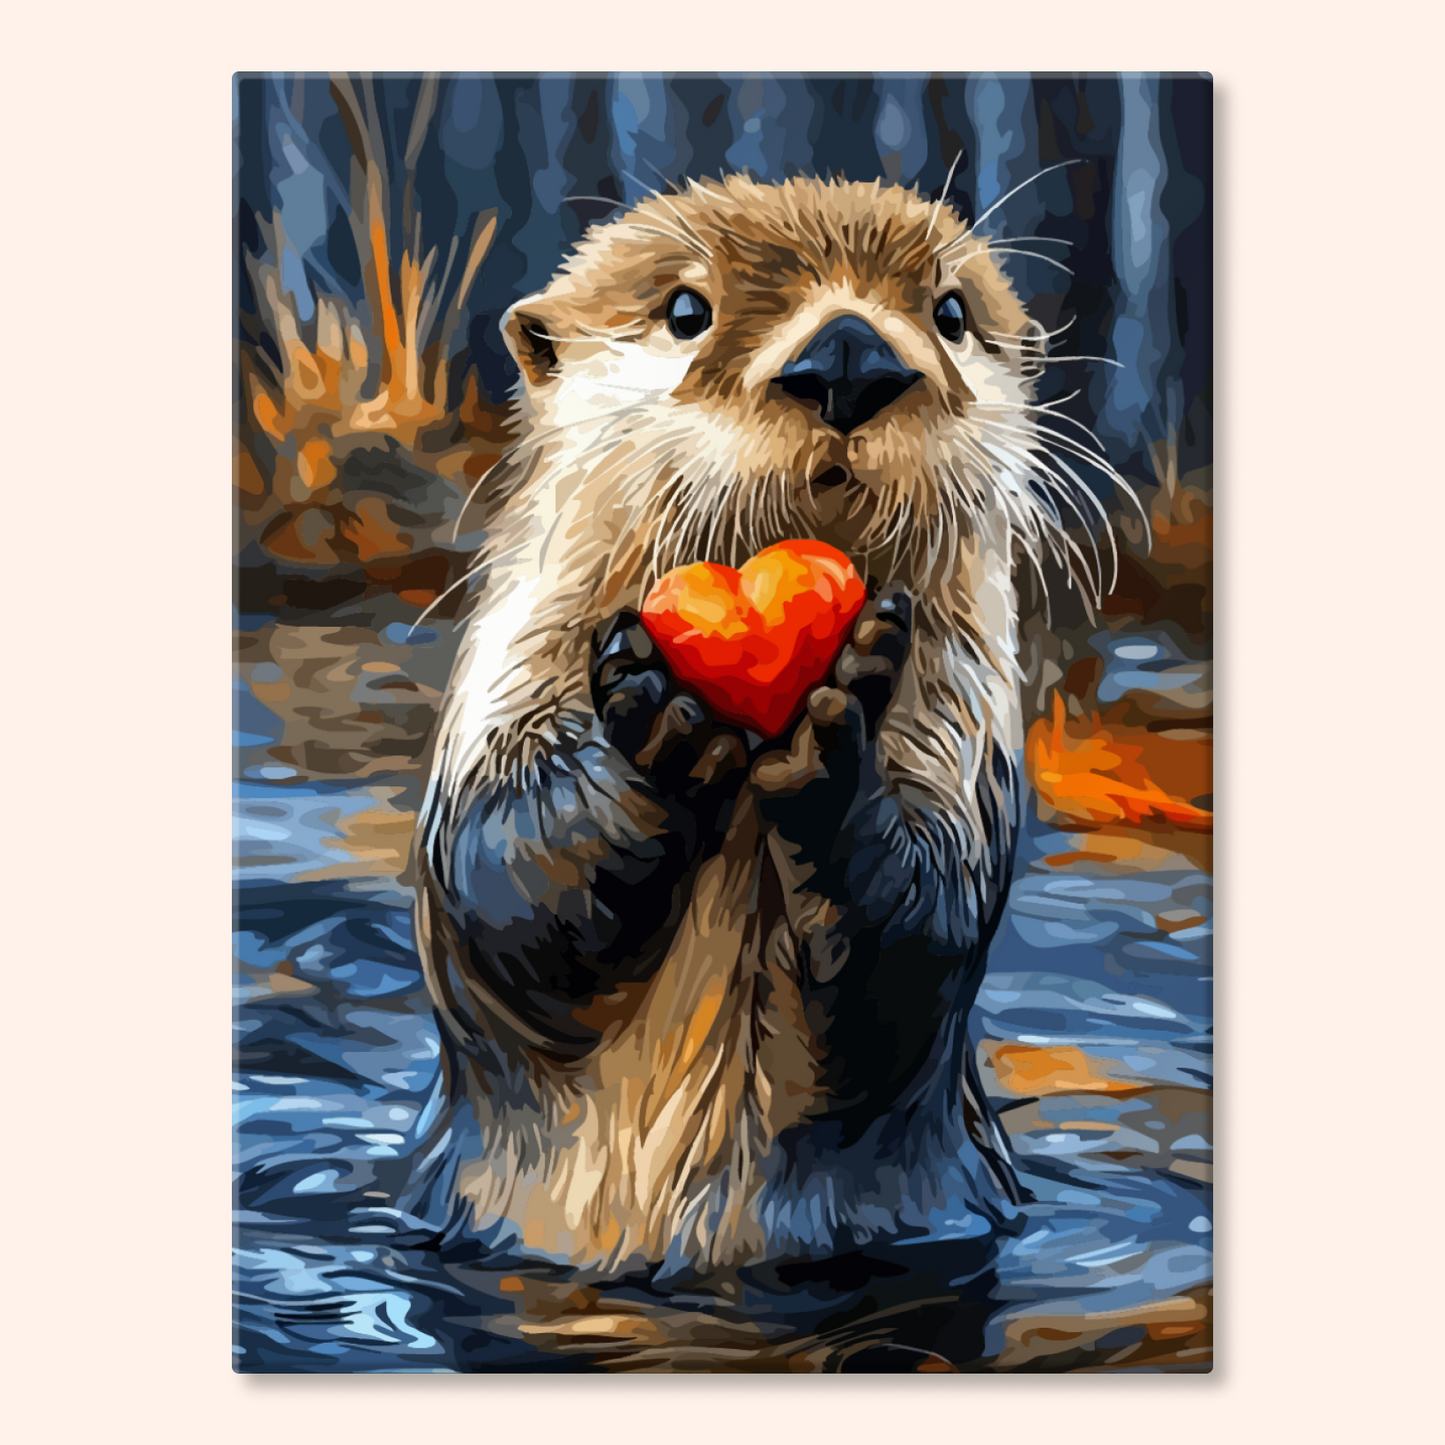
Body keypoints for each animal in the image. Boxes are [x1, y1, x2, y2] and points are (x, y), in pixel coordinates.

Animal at [413, 173, 1108, 1280]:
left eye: (951, 312)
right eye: (684, 310)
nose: (848, 358)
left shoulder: (964, 763)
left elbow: (919, 923)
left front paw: (836, 725)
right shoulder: (501, 710)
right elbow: (505, 873)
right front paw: (656, 722)